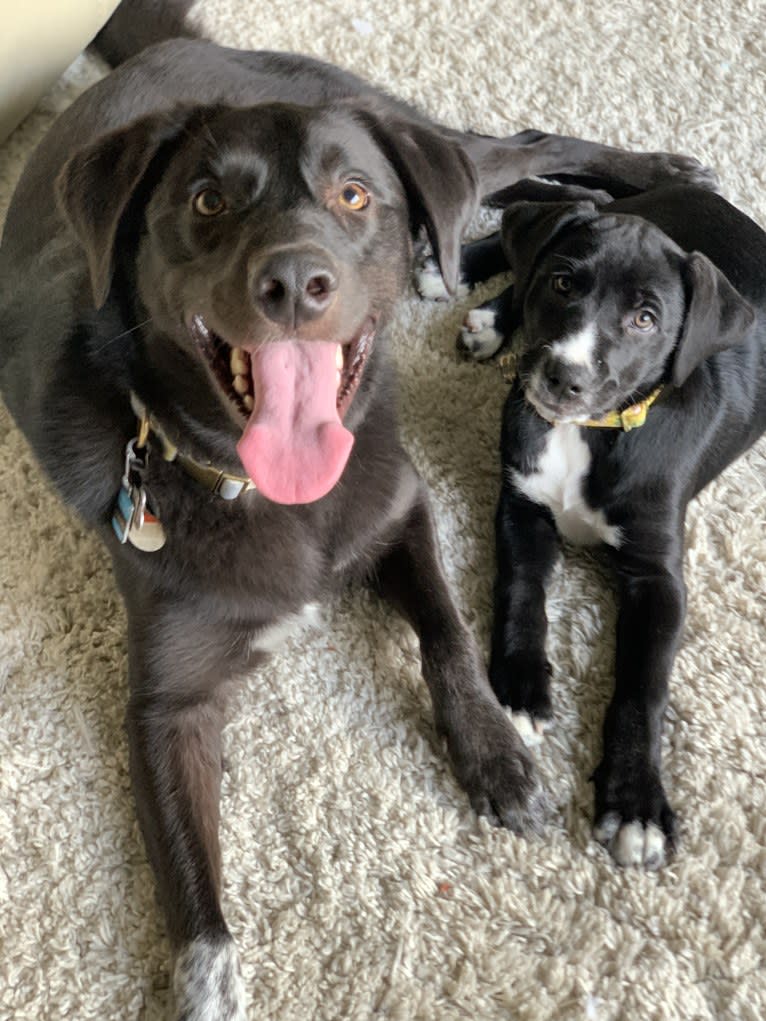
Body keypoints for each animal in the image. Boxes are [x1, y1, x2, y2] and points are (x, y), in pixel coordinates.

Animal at [0, 1, 719, 1012]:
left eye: (352, 196)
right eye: (207, 202)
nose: (296, 283)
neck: (272, 491)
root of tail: (166, 51)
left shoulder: (401, 508)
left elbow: (448, 633)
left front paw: (494, 756)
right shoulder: (167, 703)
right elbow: (190, 885)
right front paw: (208, 983)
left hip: (404, 120)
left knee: (519, 149)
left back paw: (650, 176)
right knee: (516, 185)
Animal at [453, 177, 763, 869]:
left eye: (645, 319)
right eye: (565, 284)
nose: (561, 377)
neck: (590, 434)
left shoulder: (658, 576)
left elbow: (642, 687)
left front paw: (636, 803)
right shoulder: (522, 507)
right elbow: (520, 594)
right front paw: (518, 691)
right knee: (569, 203)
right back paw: (483, 303)